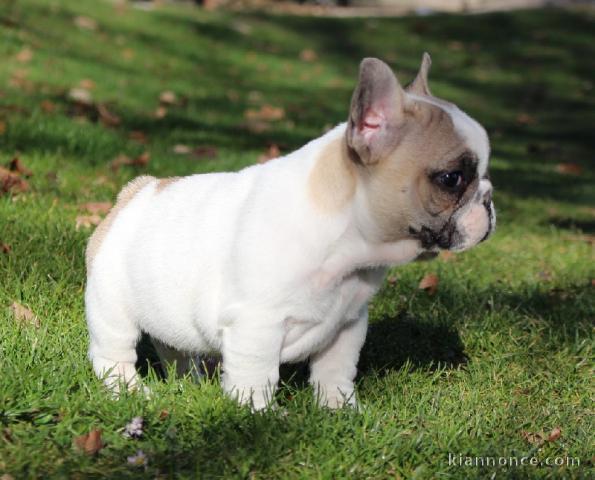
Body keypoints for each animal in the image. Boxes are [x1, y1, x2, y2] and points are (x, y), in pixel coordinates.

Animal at [84, 54, 494, 410]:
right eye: (452, 179)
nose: (489, 199)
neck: (346, 247)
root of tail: (137, 190)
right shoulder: (257, 324)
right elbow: (257, 376)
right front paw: (259, 414)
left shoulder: (348, 324)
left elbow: (335, 370)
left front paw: (340, 409)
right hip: (112, 306)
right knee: (113, 352)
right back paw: (128, 391)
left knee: (175, 349)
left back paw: (189, 383)